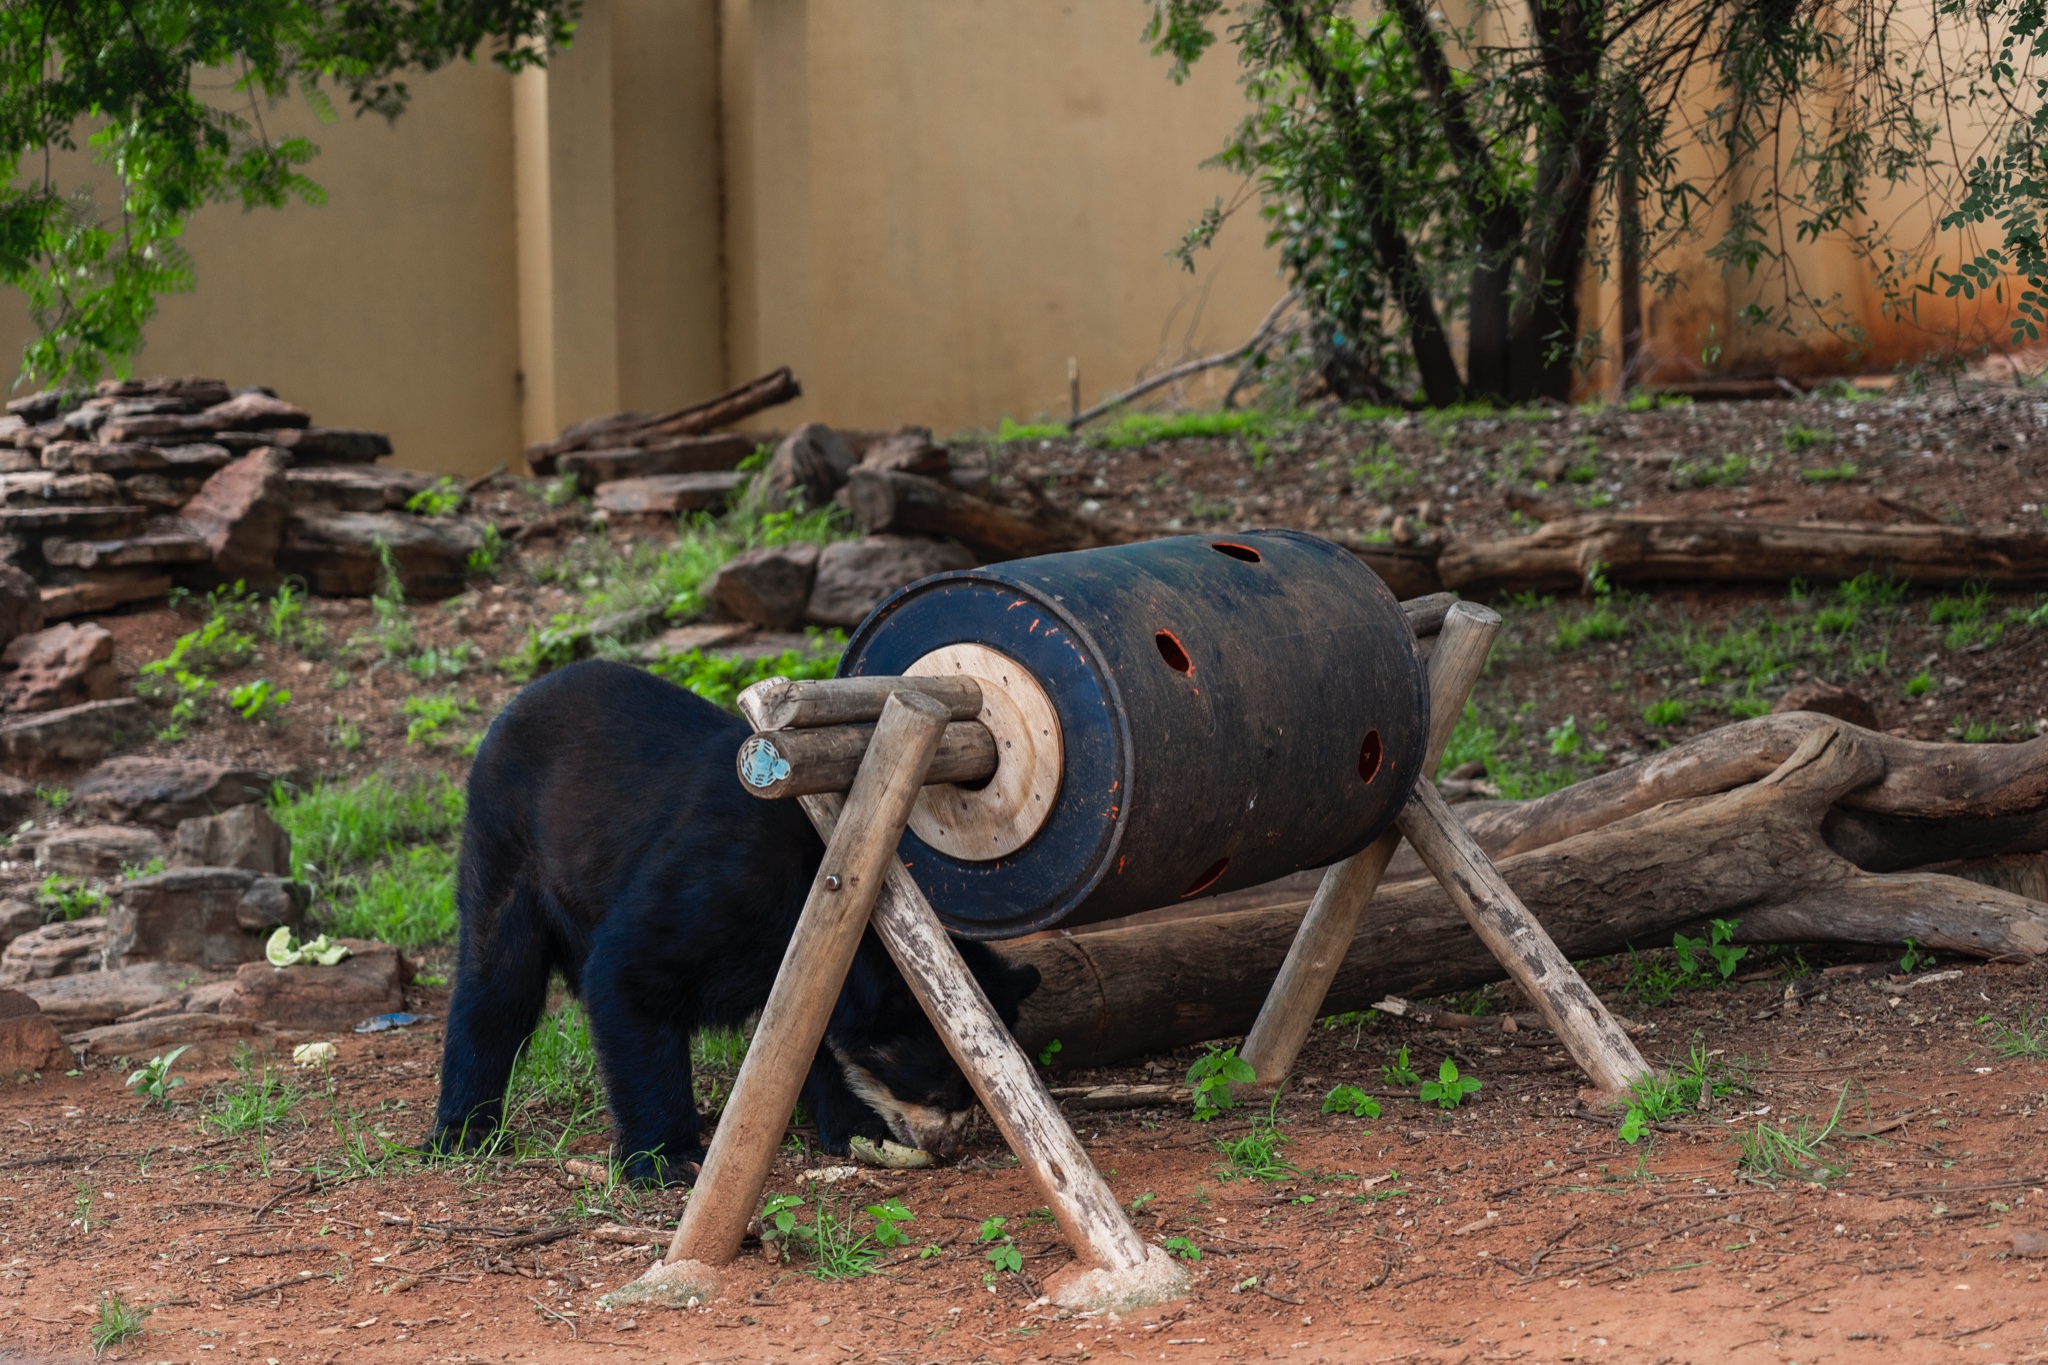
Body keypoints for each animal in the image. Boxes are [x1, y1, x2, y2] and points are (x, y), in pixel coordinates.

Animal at [432, 654, 1040, 1178]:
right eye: (934, 1089)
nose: (948, 1145)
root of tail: (519, 700)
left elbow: (807, 1038)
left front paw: (852, 1129)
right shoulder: (722, 884)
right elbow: (627, 975)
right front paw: (671, 1159)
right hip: (508, 838)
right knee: (498, 979)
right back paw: (465, 1131)